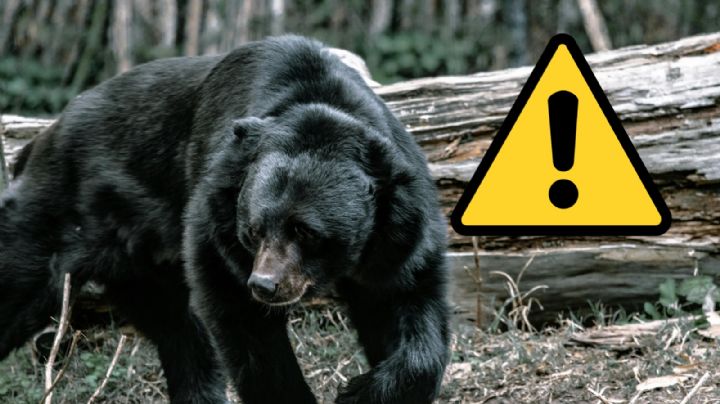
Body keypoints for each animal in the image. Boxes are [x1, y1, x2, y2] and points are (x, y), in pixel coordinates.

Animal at [0, 36, 450, 403]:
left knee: (177, 330)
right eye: (253, 231)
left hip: (139, 261)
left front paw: (363, 391)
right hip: (59, 215)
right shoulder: (216, 223)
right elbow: (245, 326)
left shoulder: (398, 235)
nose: (265, 285)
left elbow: (408, 304)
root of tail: (40, 140)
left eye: (306, 231)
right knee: (20, 281)